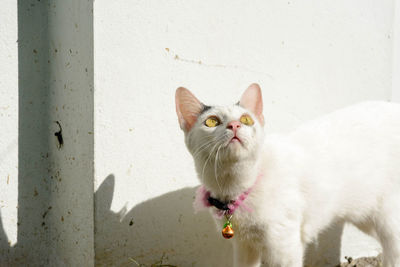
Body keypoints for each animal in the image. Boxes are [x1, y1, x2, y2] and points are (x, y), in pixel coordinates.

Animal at [174, 84, 400, 267]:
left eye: (246, 120)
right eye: (211, 122)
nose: (234, 126)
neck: (237, 186)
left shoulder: (284, 245)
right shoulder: (244, 245)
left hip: (388, 219)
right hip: (366, 215)